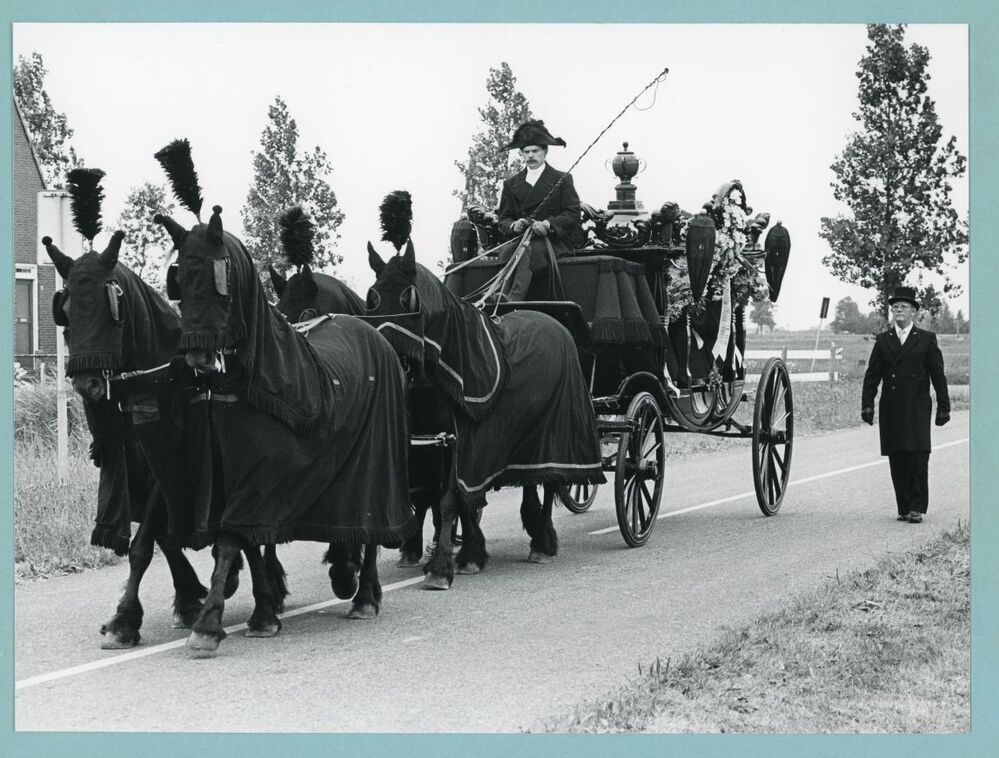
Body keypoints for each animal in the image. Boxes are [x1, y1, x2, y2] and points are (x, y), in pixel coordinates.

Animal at [42, 232, 288, 648]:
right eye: (67, 311)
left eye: (111, 307)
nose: (87, 384)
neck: (156, 382)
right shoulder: (149, 476)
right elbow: (163, 540)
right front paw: (183, 601)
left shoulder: (169, 469)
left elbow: (144, 546)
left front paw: (127, 619)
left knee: (259, 528)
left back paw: (270, 592)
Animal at [157, 205, 416, 653]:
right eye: (181, 281)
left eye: (219, 277)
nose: (198, 357)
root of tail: (374, 336)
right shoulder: (229, 477)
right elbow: (248, 542)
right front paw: (264, 608)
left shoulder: (260, 480)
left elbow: (232, 541)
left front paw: (208, 624)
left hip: (376, 464)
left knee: (371, 525)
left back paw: (364, 595)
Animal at [364, 238, 605, 589]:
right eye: (372, 299)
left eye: (410, 298)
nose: (386, 356)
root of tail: (555, 323)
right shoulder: (439, 444)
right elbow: (450, 500)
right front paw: (470, 553)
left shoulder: (467, 442)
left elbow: (450, 500)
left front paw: (441, 567)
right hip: (525, 438)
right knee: (531, 480)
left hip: (556, 433)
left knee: (549, 481)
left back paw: (542, 543)